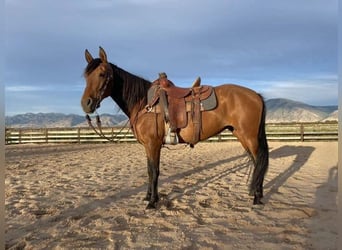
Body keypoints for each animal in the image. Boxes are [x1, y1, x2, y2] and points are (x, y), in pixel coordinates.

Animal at [81, 47, 268, 209]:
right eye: (86, 76)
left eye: (102, 74)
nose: (86, 104)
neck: (144, 103)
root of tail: (256, 95)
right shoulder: (148, 146)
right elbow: (149, 171)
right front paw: (148, 197)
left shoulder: (153, 144)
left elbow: (154, 171)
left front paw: (152, 202)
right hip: (242, 136)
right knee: (256, 162)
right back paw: (256, 194)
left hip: (249, 137)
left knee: (258, 161)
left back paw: (257, 198)